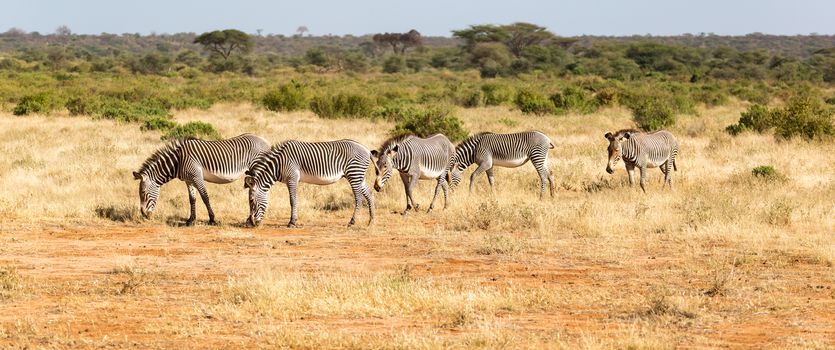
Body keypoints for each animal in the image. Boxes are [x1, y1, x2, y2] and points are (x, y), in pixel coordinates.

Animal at [134, 133, 270, 226]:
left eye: (143, 193)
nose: (144, 215)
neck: (178, 161)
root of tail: (263, 139)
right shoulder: (188, 180)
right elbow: (192, 199)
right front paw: (190, 220)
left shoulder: (197, 177)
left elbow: (205, 197)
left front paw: (212, 219)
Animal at [242, 138, 372, 228]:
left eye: (251, 200)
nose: (251, 223)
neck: (278, 164)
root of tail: (366, 149)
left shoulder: (292, 179)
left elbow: (293, 200)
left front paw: (292, 222)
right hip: (359, 176)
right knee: (369, 194)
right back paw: (371, 220)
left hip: (354, 174)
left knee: (359, 198)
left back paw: (352, 222)